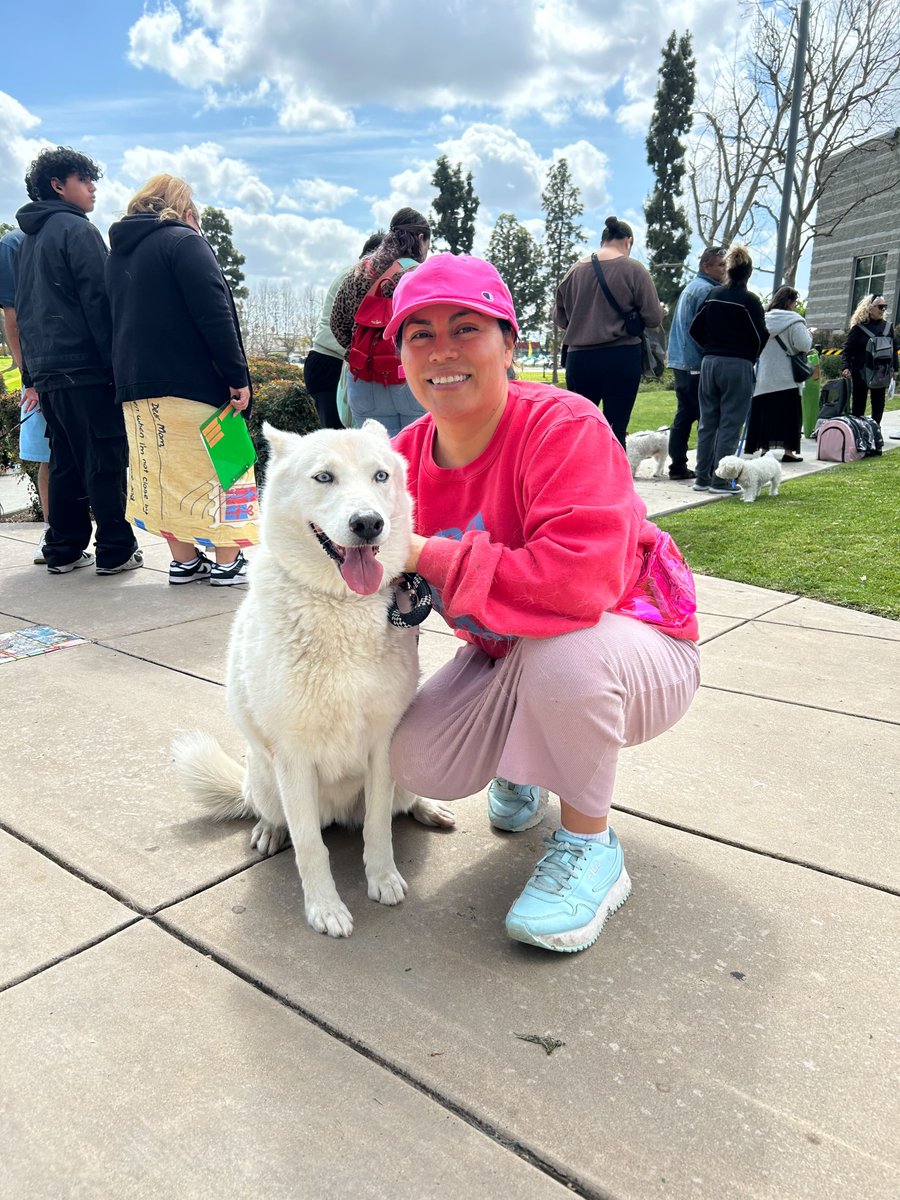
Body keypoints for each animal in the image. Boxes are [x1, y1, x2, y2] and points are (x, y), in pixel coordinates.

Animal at [172, 422, 453, 936]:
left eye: (381, 475)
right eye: (324, 477)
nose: (368, 524)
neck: (340, 605)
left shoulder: (383, 746)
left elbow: (378, 828)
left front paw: (382, 879)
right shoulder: (294, 759)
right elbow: (309, 846)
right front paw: (325, 907)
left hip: (400, 768)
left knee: (397, 805)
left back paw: (426, 807)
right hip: (267, 780)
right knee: (277, 816)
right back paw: (268, 830)